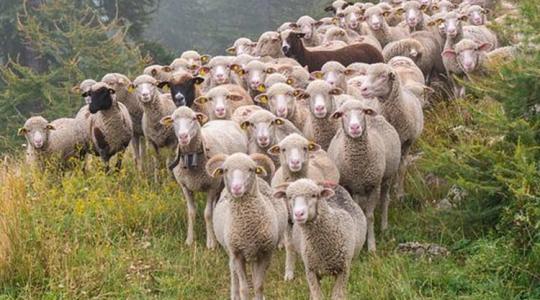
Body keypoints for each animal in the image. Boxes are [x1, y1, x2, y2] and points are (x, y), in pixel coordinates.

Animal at [161, 107, 248, 248]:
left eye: (194, 118)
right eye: (173, 120)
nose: (183, 136)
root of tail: (222, 120)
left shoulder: (212, 186)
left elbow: (207, 214)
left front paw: (211, 242)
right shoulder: (185, 187)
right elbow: (191, 212)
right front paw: (190, 240)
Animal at [206, 152, 286, 300]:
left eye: (251, 169)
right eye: (225, 170)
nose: (236, 188)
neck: (247, 228)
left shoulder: (265, 253)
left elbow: (258, 285)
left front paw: (260, 296)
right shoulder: (237, 254)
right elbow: (244, 288)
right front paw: (241, 293)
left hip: (254, 254)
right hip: (230, 250)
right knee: (233, 272)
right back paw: (234, 294)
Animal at [326, 98, 398, 251]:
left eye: (363, 112)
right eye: (342, 114)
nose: (355, 128)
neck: (357, 166)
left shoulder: (374, 185)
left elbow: (370, 216)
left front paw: (371, 246)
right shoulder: (348, 186)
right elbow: (357, 212)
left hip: (387, 178)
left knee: (385, 200)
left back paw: (384, 227)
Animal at [360, 64, 424, 203]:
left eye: (383, 76)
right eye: (366, 74)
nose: (363, 89)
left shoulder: (407, 142)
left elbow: (402, 167)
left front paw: (400, 193)